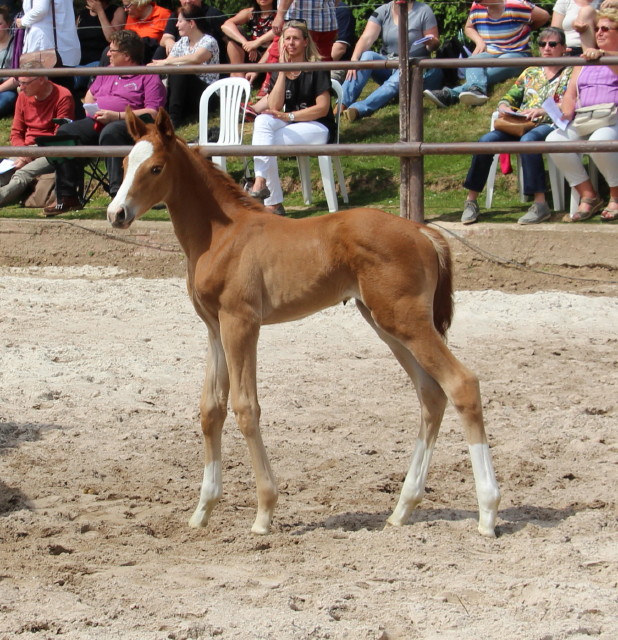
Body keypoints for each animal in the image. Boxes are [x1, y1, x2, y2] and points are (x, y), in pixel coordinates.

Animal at [107, 109, 500, 536]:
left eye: (155, 168)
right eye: (125, 165)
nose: (116, 214)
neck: (222, 235)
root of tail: (423, 231)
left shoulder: (241, 323)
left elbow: (246, 408)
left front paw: (264, 511)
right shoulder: (214, 328)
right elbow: (211, 409)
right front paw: (202, 510)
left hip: (406, 321)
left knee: (462, 384)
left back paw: (488, 512)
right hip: (387, 324)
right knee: (431, 395)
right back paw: (402, 509)